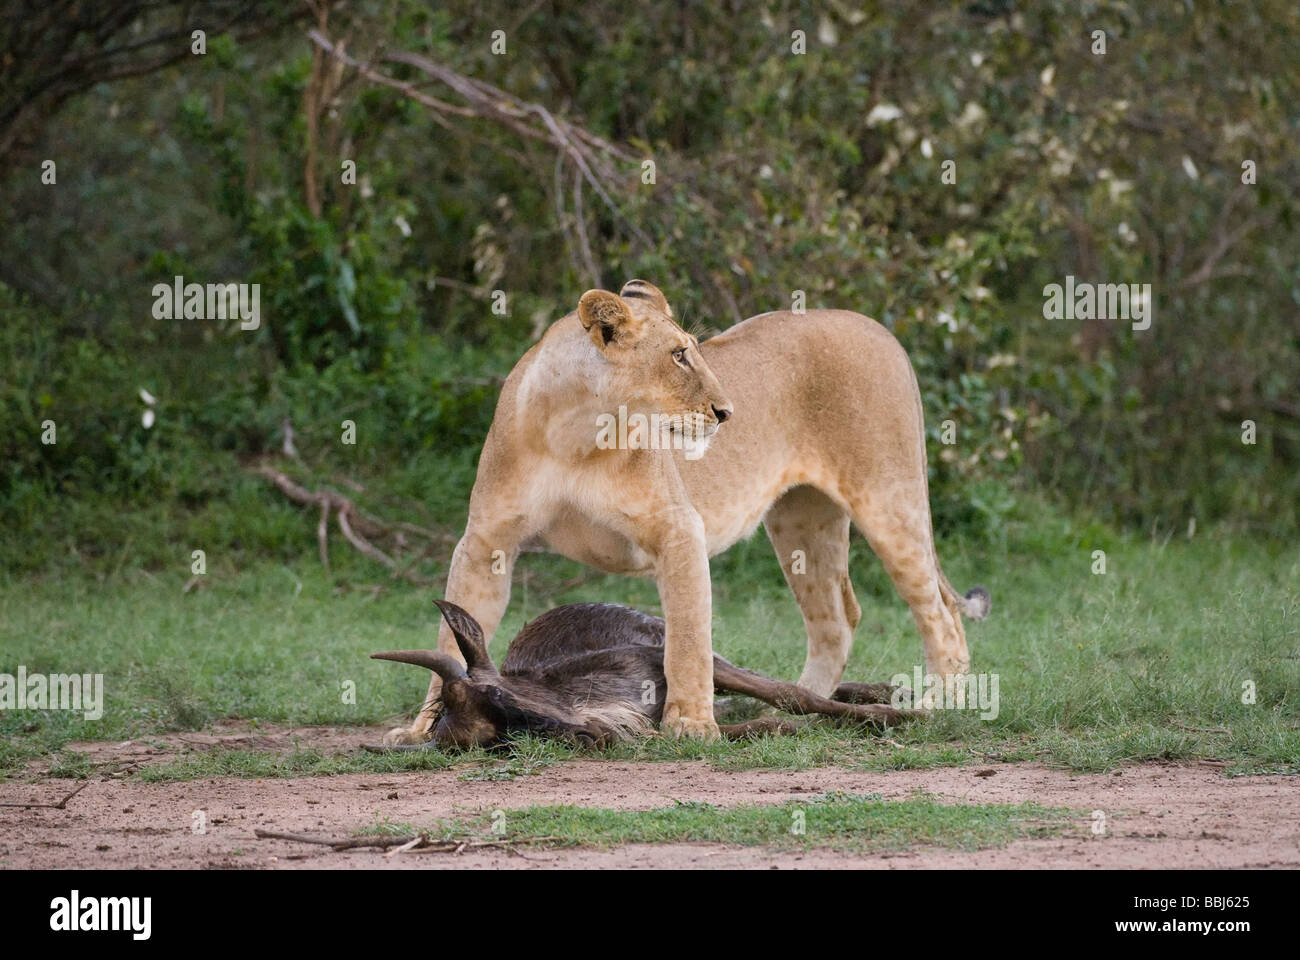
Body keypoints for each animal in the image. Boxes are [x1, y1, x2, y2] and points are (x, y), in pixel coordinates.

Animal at [385, 279, 989, 744]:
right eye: (678, 355)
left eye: (694, 349)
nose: (726, 412)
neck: (575, 434)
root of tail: (878, 328)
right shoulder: (486, 542)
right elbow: (452, 637)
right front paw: (420, 729)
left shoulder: (678, 529)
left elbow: (689, 641)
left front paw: (693, 724)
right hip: (801, 518)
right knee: (836, 620)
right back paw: (797, 707)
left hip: (888, 499)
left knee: (942, 617)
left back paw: (937, 705)